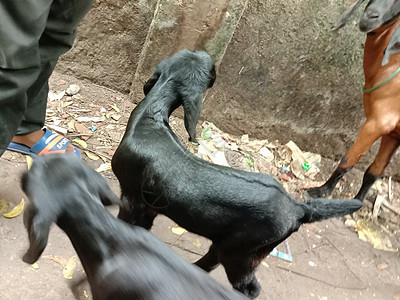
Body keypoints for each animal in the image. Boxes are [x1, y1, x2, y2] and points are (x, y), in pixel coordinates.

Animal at [111, 49, 362, 298]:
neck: (150, 120)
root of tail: (298, 208)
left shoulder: (131, 199)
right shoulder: (149, 208)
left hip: (241, 254)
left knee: (249, 288)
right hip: (230, 246)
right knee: (212, 261)